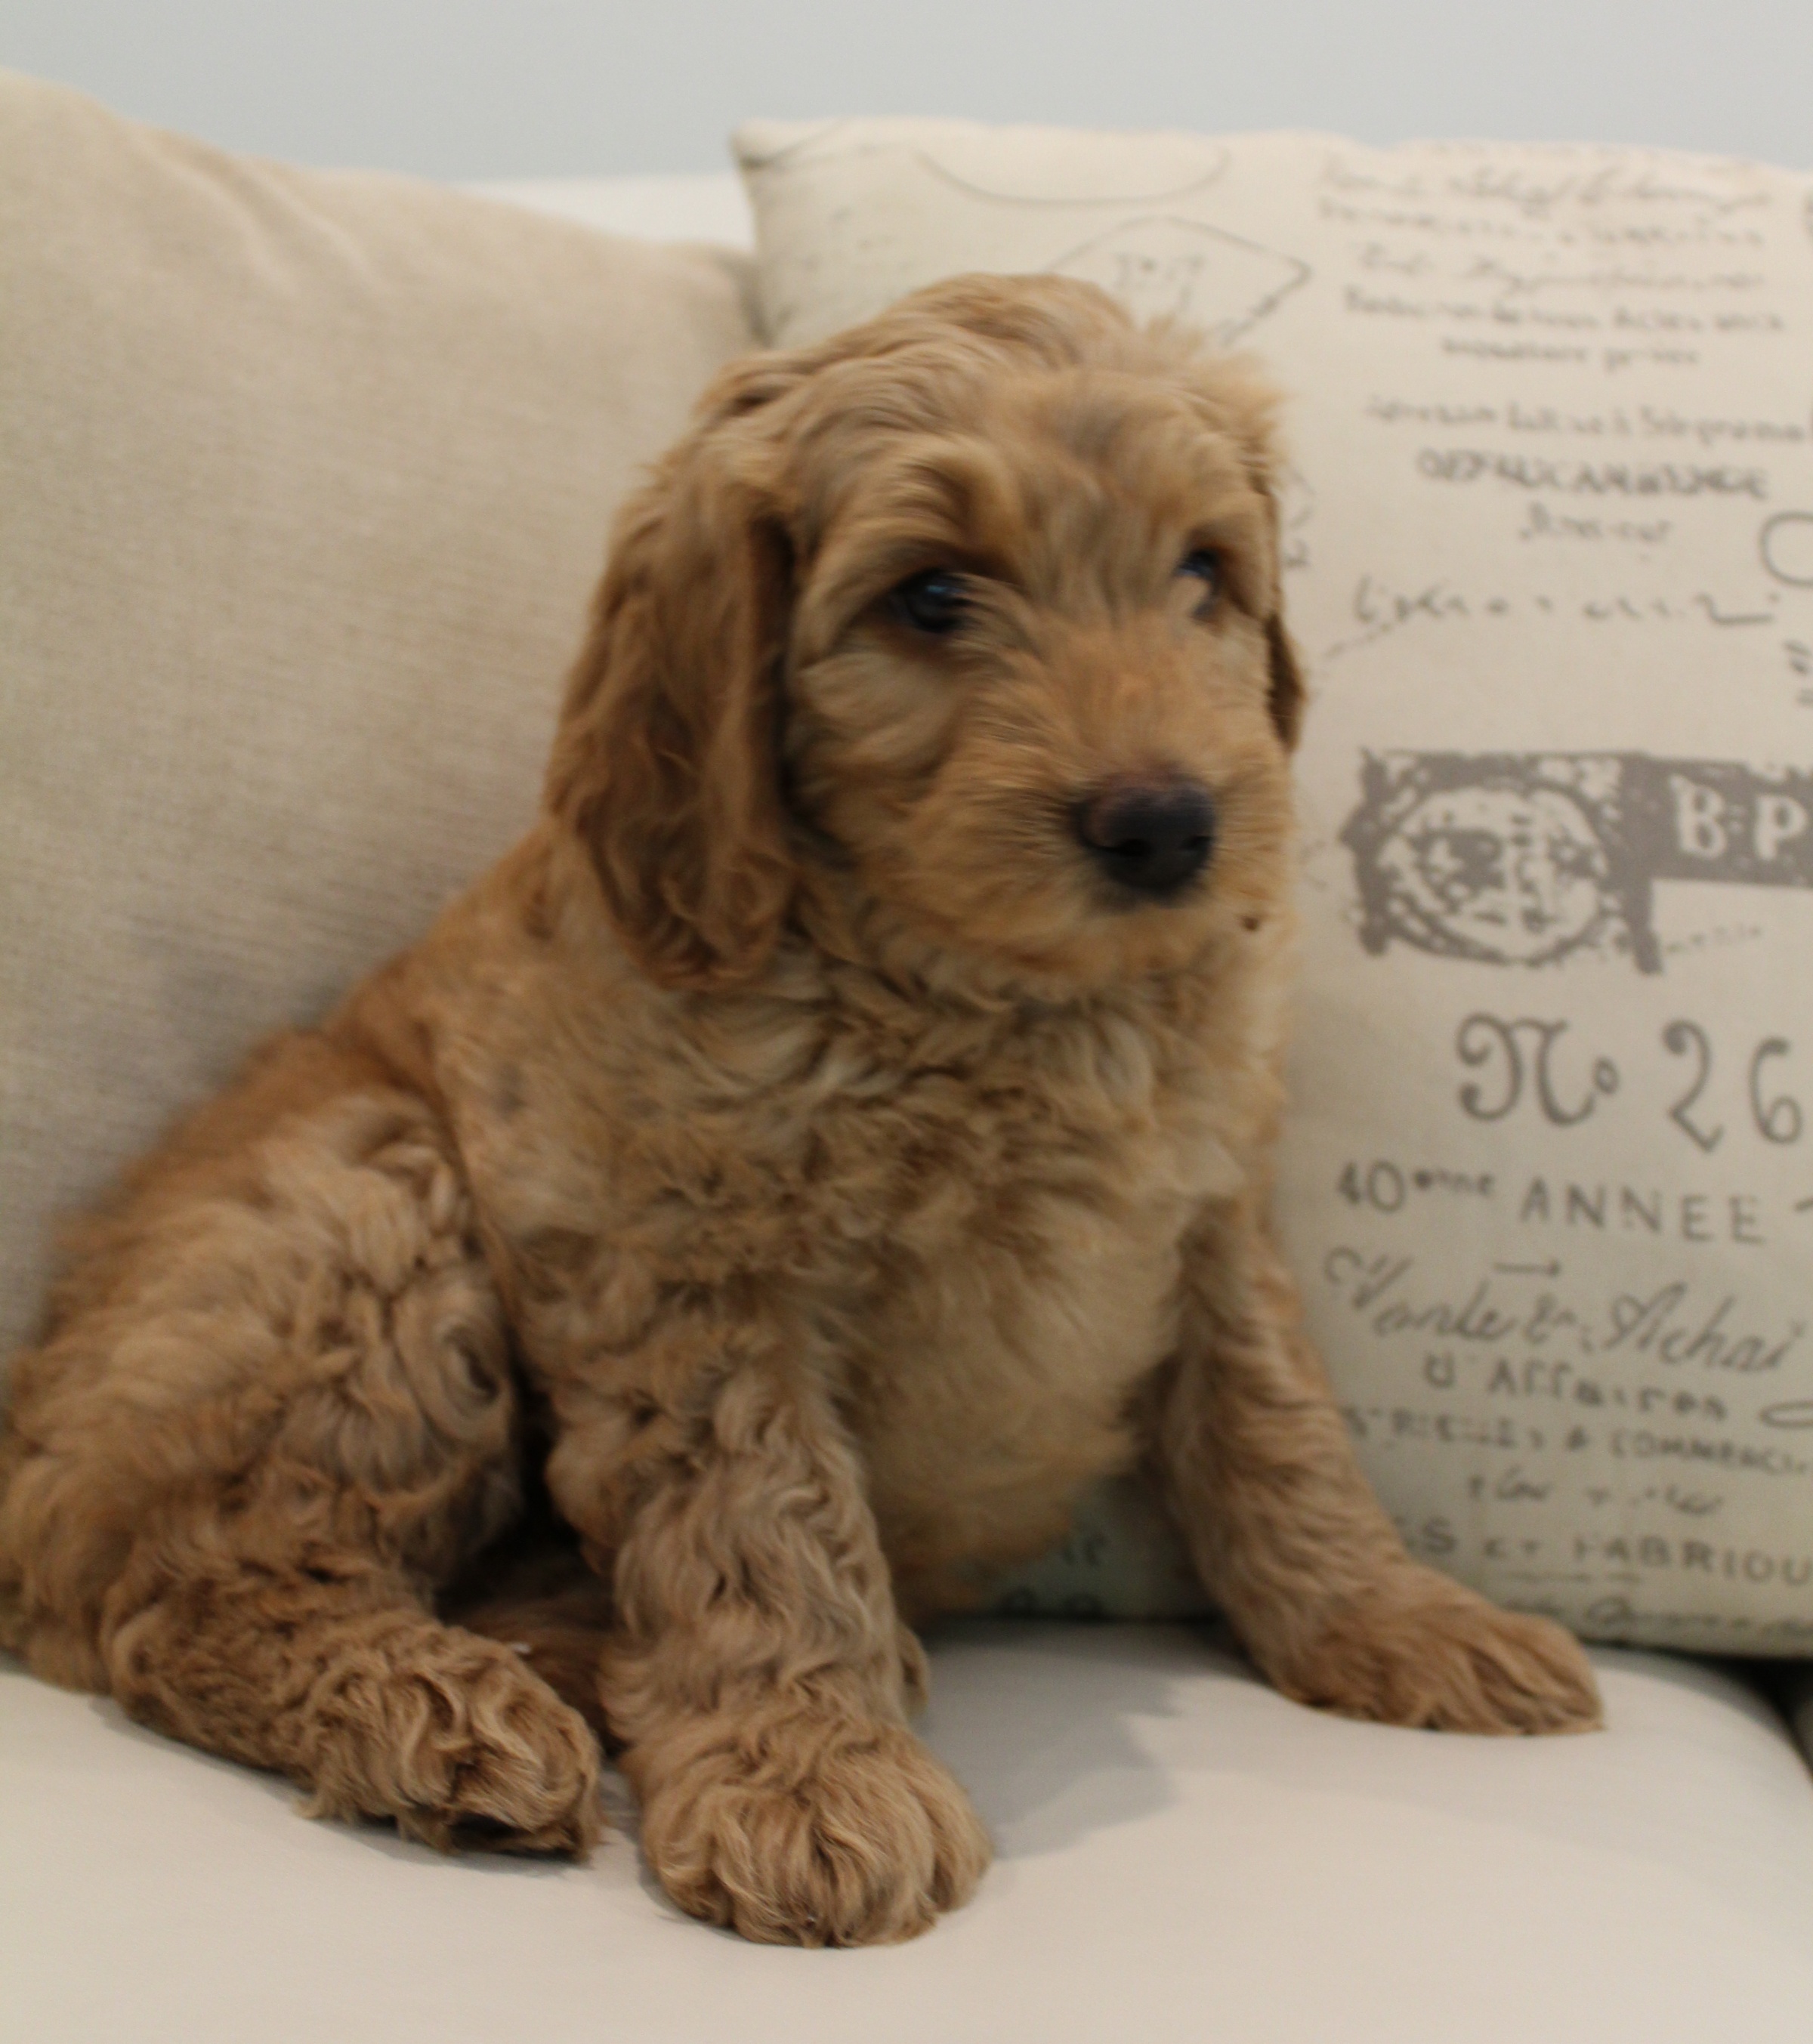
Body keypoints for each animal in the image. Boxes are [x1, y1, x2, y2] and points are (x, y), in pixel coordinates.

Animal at [0, 275, 1601, 1946]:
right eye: (934, 598)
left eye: (1203, 572)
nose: (1167, 825)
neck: (1004, 998)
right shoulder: (692, 1272)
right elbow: (764, 1519)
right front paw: (809, 1776)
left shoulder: (1211, 1211)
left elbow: (1281, 1433)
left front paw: (1405, 1620)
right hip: (369, 1212)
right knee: (192, 1586)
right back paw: (441, 1714)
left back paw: (576, 1656)